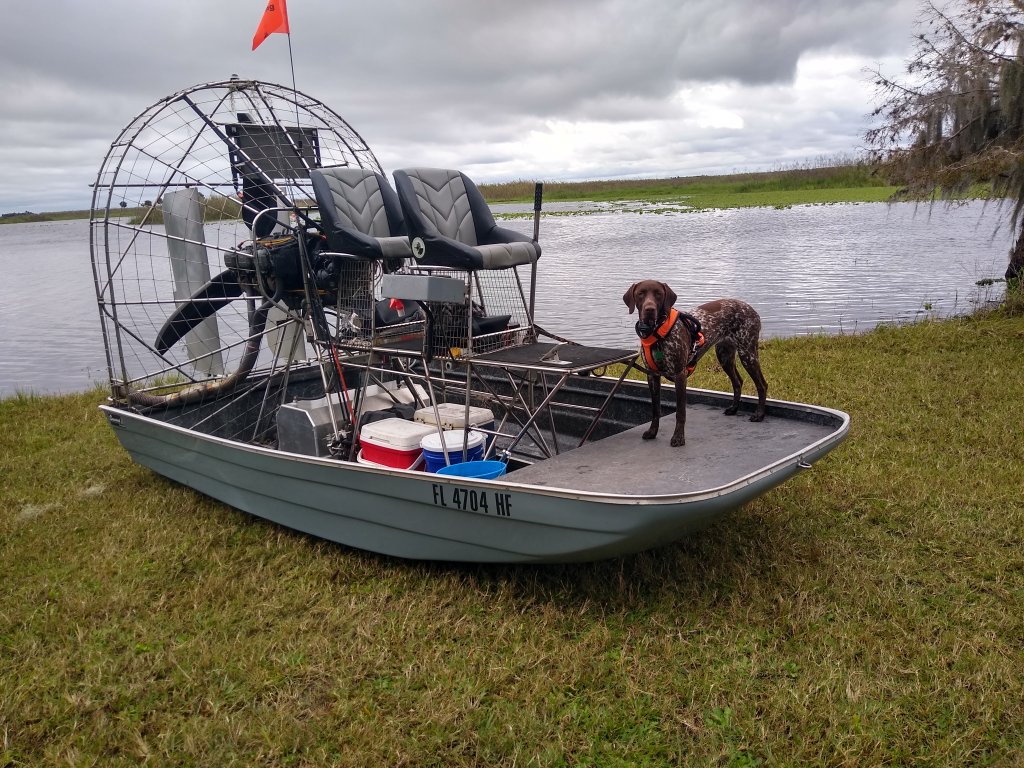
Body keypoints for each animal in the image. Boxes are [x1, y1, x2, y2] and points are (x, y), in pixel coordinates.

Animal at [622, 282, 770, 448]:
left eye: (658, 294)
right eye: (640, 293)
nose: (649, 309)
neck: (657, 333)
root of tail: (750, 308)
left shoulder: (680, 375)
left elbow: (680, 412)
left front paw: (678, 437)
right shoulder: (652, 376)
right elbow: (655, 410)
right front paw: (652, 432)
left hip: (747, 354)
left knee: (762, 385)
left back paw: (759, 414)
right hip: (724, 355)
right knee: (738, 382)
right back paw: (734, 408)